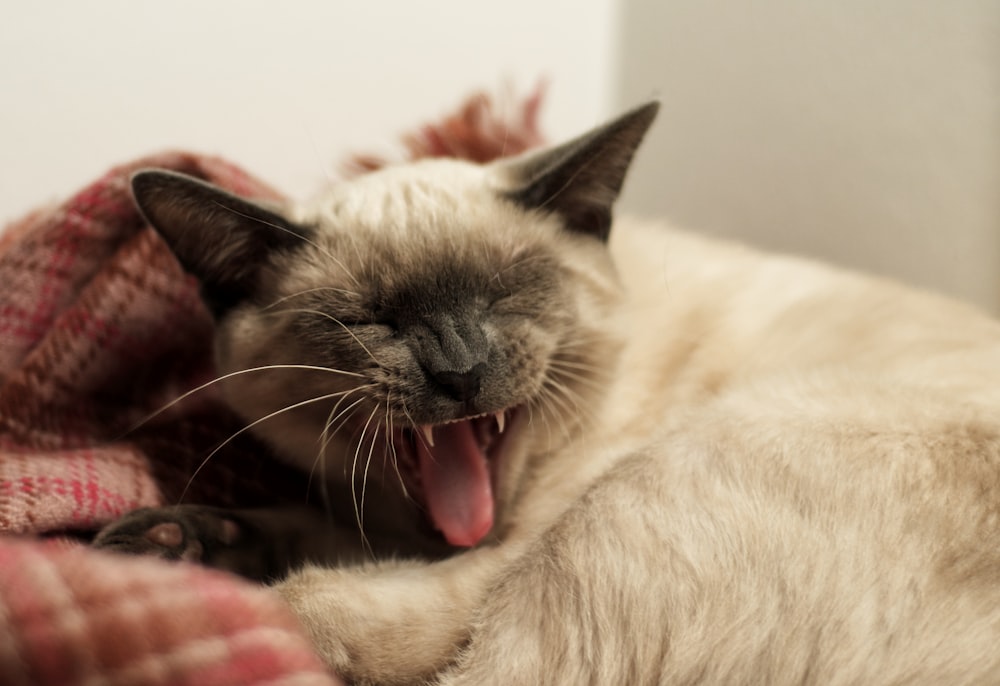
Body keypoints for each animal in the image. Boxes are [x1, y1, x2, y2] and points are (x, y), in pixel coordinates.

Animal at [95, 103, 1000, 686]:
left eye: (504, 298)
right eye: (372, 321)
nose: (460, 370)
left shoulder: (504, 550)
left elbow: (350, 595)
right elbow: (316, 531)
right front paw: (180, 539)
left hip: (650, 484)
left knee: (347, 623)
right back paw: (161, 555)